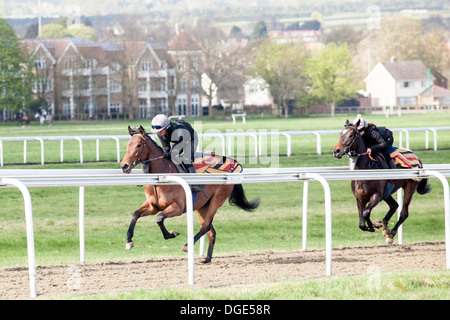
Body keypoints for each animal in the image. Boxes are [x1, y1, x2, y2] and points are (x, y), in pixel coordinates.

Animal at [120, 125, 260, 262]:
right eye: (127, 144)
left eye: (138, 145)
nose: (124, 166)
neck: (161, 178)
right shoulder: (152, 206)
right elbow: (135, 214)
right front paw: (129, 242)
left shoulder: (178, 207)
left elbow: (159, 218)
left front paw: (171, 234)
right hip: (202, 206)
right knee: (211, 231)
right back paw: (207, 258)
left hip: (217, 199)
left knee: (206, 226)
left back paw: (187, 246)